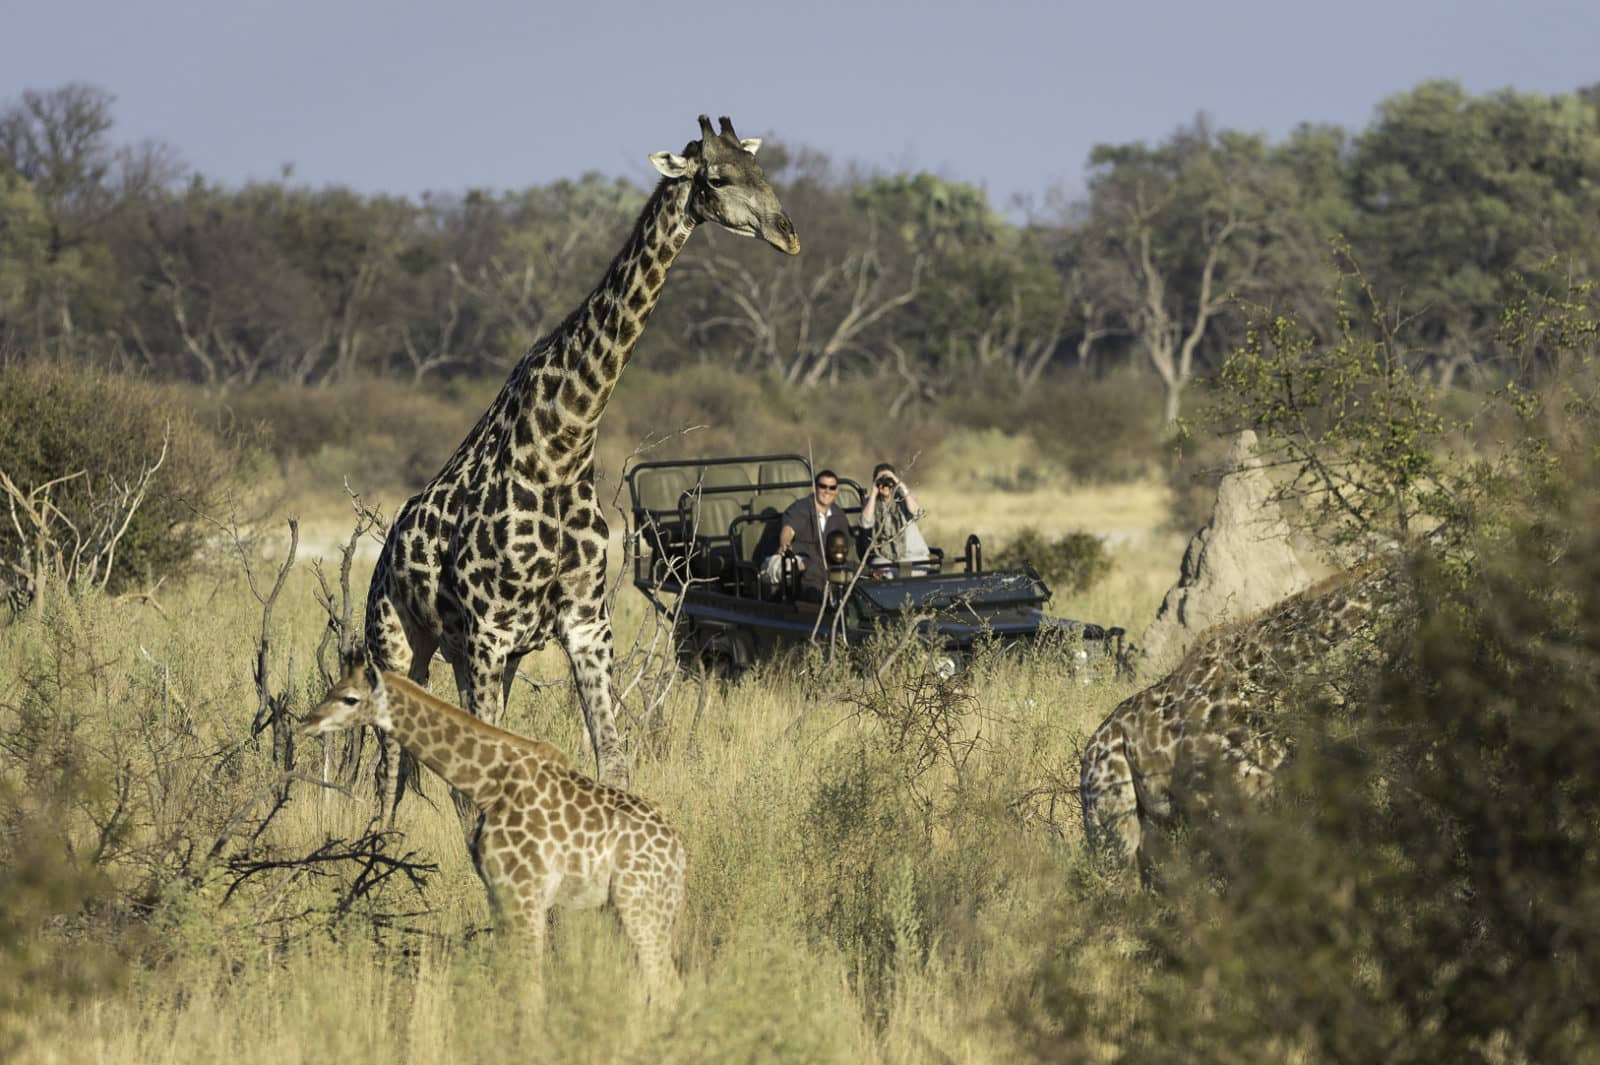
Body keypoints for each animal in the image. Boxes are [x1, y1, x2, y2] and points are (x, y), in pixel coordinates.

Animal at [303, 660, 687, 1000]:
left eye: (350, 698)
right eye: (332, 688)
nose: (308, 722)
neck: (487, 784)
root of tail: (679, 853)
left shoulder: (524, 892)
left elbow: (530, 986)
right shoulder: (498, 892)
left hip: (640, 905)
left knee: (666, 985)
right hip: (632, 909)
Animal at [365, 115, 799, 808]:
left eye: (762, 170)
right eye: (716, 177)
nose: (789, 236)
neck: (562, 447)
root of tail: (383, 556)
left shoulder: (584, 624)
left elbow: (614, 764)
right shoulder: (488, 632)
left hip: (468, 654)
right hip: (397, 642)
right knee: (386, 770)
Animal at [1079, 563, 1408, 878]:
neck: (1260, 675)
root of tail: (1088, 756)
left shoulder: (1266, 792)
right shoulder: (1210, 802)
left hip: (1151, 824)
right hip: (1110, 818)